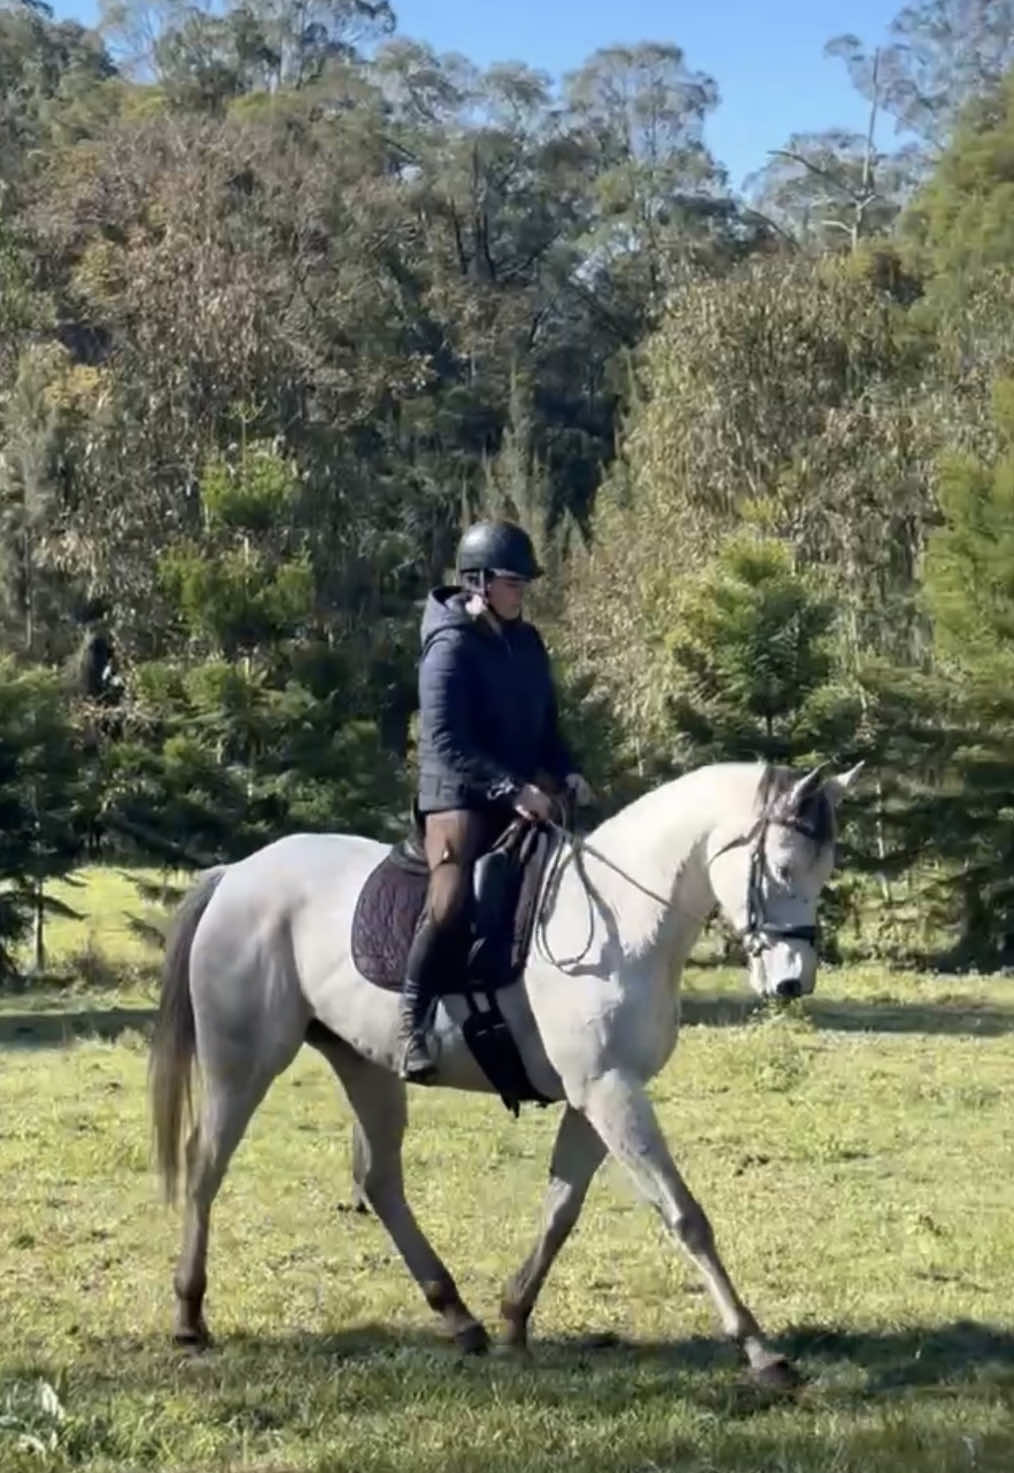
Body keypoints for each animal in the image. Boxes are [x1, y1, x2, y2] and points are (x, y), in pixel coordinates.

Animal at [149, 758, 861, 1386]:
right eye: (783, 866)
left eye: (824, 870)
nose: (792, 982)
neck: (623, 919)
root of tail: (237, 874)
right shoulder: (608, 1089)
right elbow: (684, 1215)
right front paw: (760, 1350)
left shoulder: (595, 1093)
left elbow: (561, 1209)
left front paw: (515, 1319)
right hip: (243, 1061)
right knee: (205, 1165)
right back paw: (188, 1315)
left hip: (365, 1065)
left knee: (379, 1180)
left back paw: (458, 1317)